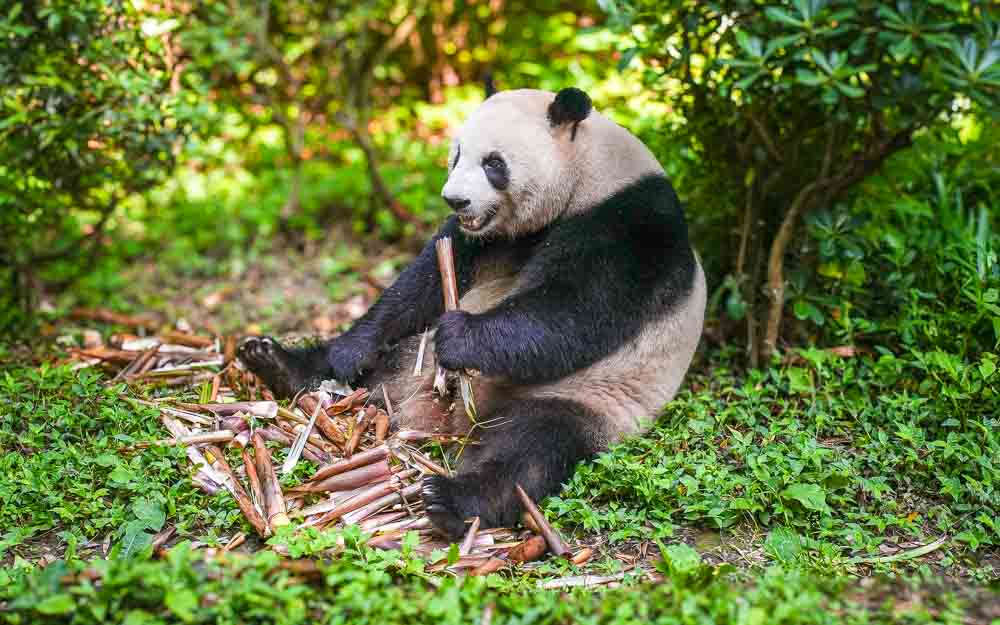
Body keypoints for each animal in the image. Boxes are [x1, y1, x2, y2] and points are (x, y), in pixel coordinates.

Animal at [241, 85, 708, 540]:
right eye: (457, 155)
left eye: (494, 163)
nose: (455, 200)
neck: (588, 172)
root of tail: (433, 417)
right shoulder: (489, 238)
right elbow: (425, 281)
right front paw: (351, 351)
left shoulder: (629, 228)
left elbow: (576, 311)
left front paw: (460, 338)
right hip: (411, 358)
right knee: (380, 358)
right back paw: (277, 362)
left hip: (589, 398)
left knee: (532, 449)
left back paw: (451, 499)